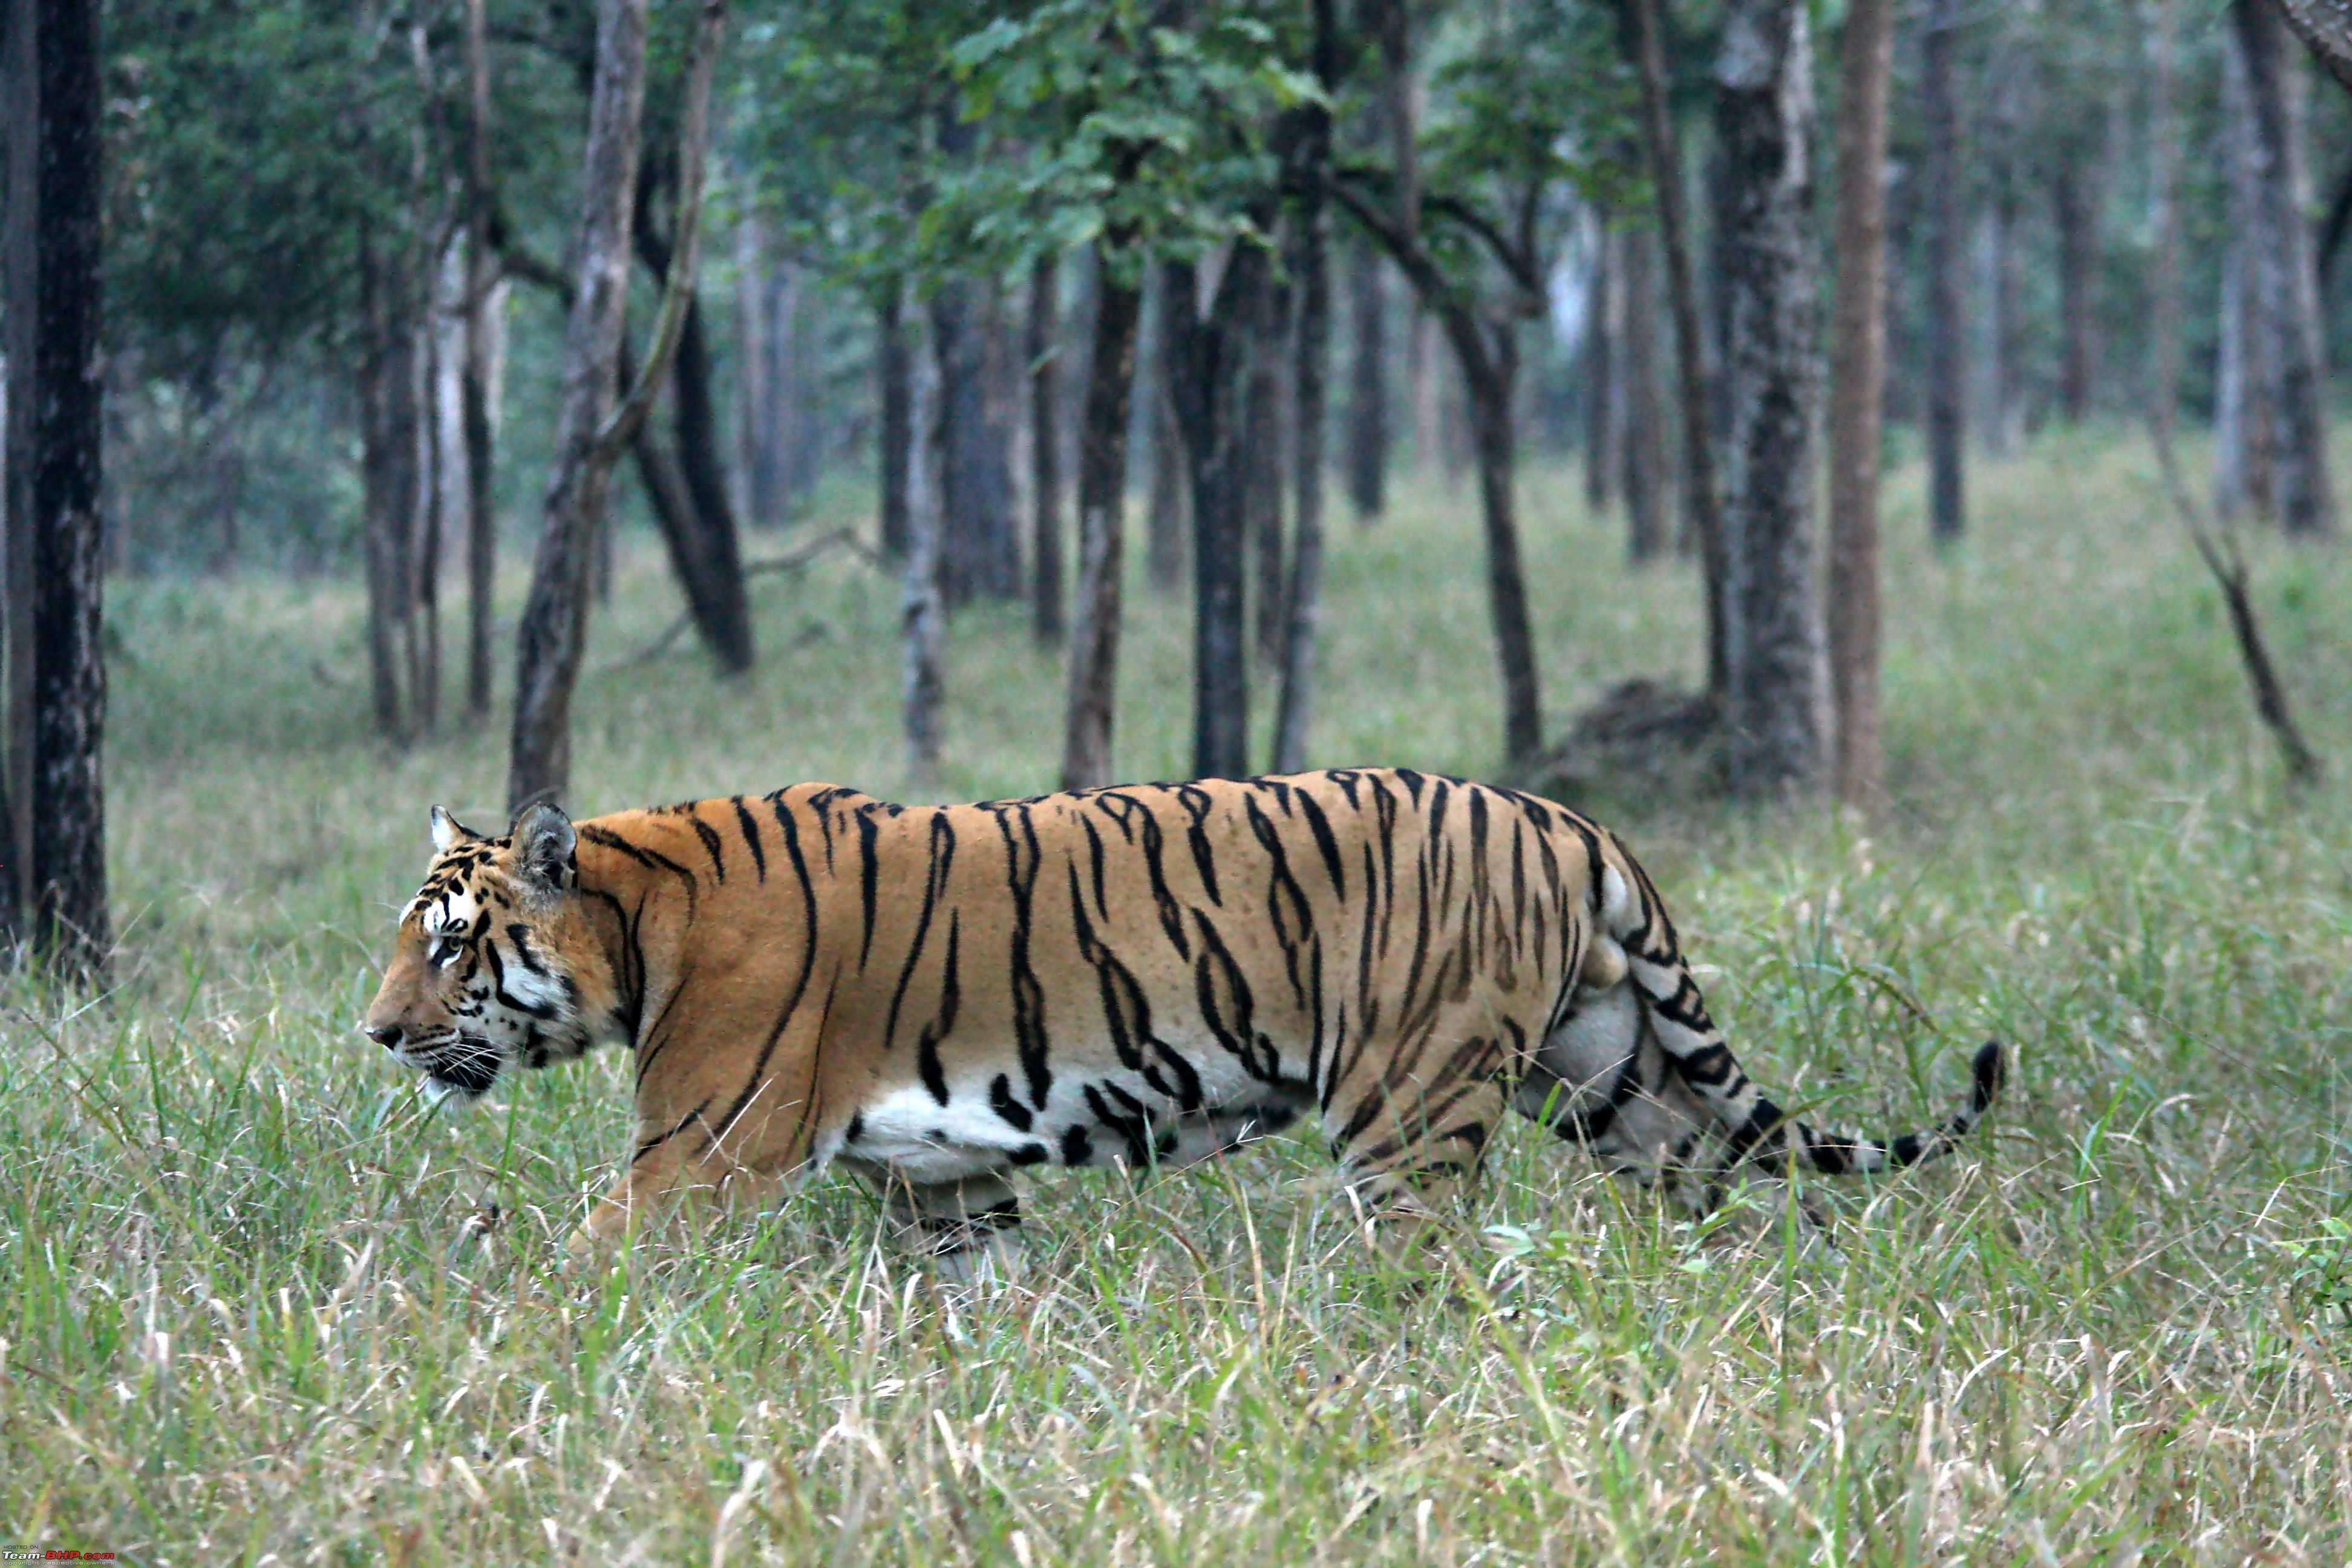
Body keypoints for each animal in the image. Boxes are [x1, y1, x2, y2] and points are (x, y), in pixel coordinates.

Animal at [360, 769, 2003, 1275]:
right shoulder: (950, 1184)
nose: (373, 1036)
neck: (640, 921)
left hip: (1410, 1113)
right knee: (1715, 1193)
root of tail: (1568, 817)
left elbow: (574, 1275)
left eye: (447, 948)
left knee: (1431, 1275)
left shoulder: (700, 1154)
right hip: (1616, 1083)